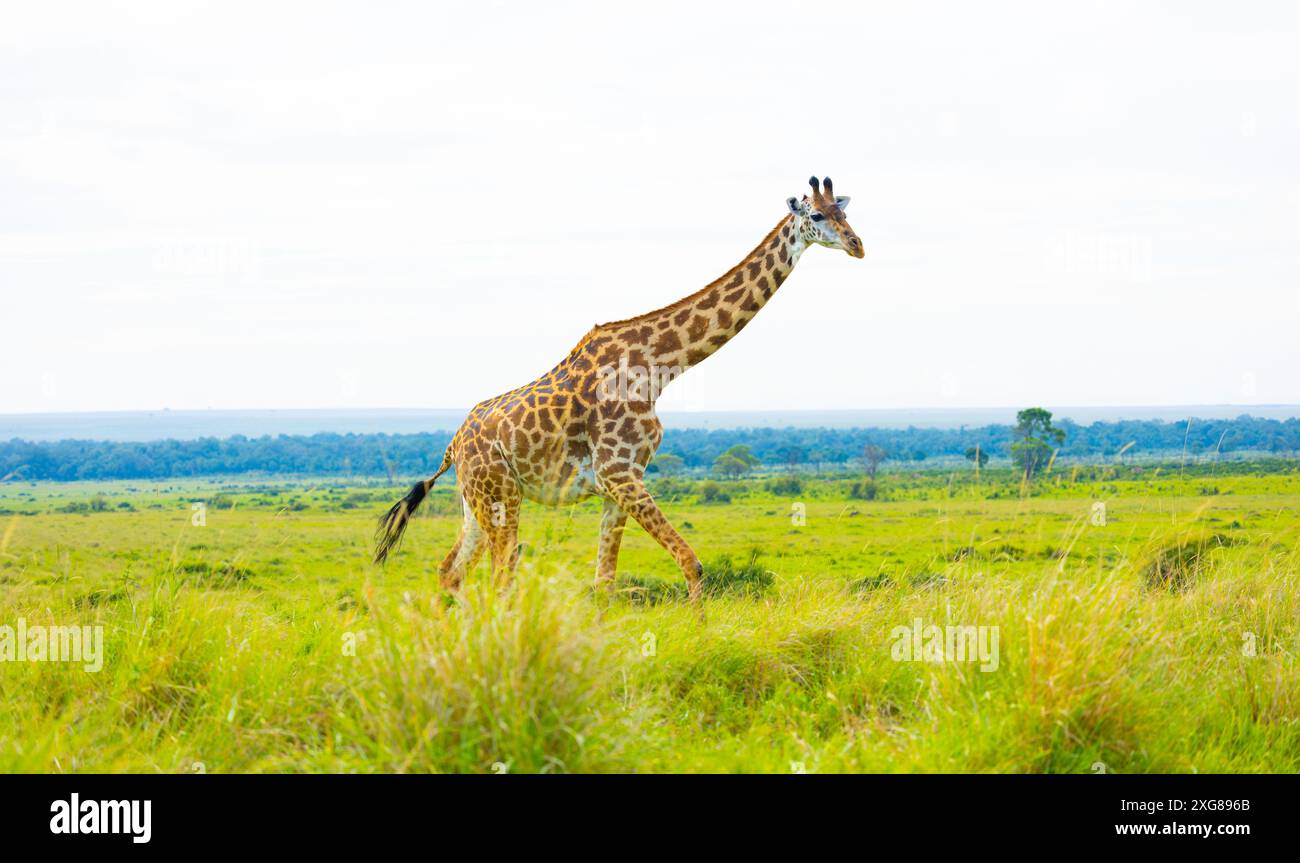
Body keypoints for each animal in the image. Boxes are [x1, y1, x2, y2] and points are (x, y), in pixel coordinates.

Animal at [374, 176, 865, 599]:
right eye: (816, 216)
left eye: (844, 211)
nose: (857, 245)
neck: (658, 366)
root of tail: (453, 445)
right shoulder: (620, 473)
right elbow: (690, 561)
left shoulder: (618, 485)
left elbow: (605, 582)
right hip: (499, 495)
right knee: (500, 577)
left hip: (474, 500)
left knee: (450, 571)